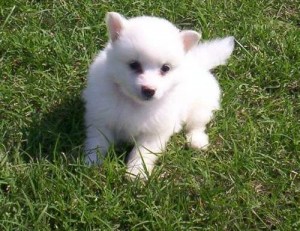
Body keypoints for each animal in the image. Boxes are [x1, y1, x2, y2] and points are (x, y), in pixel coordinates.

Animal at [82, 11, 234, 180]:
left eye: (165, 68)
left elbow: (142, 154)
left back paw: (197, 141)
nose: (149, 90)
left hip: (201, 106)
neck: (135, 103)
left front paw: (136, 173)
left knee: (196, 124)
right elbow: (98, 142)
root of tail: (197, 62)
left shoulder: (153, 133)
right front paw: (92, 162)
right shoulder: (101, 120)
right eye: (134, 64)